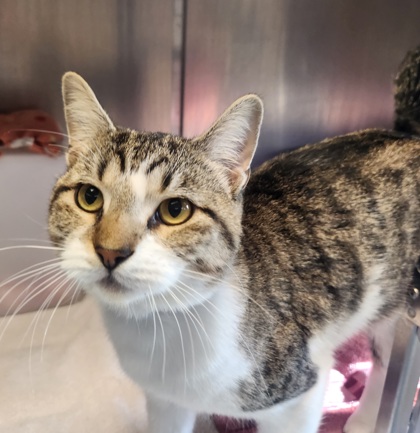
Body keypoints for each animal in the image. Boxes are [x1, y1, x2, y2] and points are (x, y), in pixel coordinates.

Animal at [48, 45, 420, 433]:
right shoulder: (165, 401)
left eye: (175, 210)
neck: (161, 328)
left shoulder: (300, 392)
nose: (110, 252)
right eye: (89, 196)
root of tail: (407, 134)